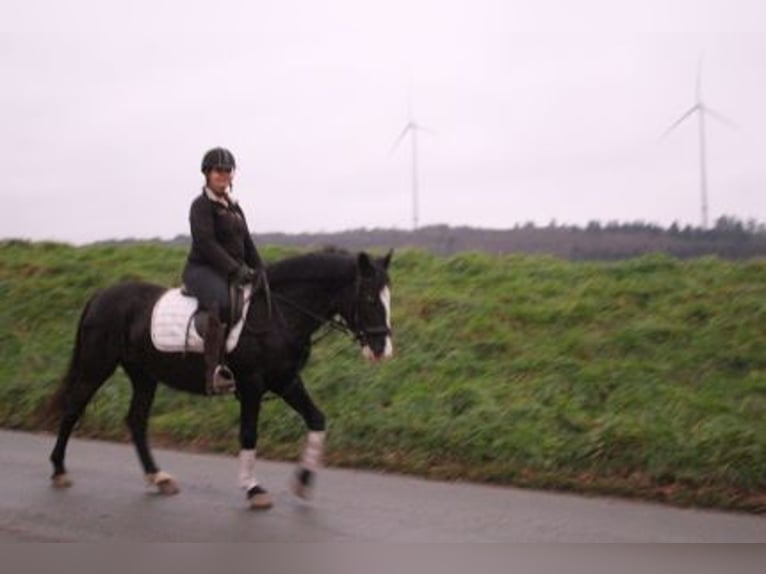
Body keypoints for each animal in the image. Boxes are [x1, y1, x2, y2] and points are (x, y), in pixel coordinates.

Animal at [48, 250, 396, 510]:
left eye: (388, 297)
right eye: (368, 297)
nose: (382, 349)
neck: (278, 313)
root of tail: (100, 295)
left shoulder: (286, 381)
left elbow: (317, 419)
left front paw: (303, 481)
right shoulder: (252, 385)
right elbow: (249, 434)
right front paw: (253, 488)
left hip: (144, 375)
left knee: (135, 420)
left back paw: (158, 477)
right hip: (97, 365)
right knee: (74, 408)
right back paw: (59, 471)